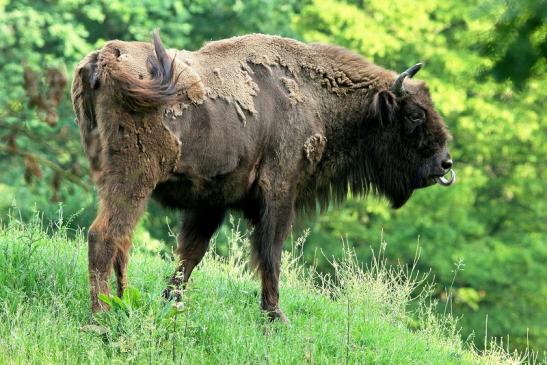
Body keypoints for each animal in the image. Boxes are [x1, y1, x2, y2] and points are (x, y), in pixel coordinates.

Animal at [74, 32, 458, 322]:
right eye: (414, 115)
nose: (445, 164)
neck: (313, 95)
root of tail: (107, 57)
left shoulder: (211, 203)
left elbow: (190, 254)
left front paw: (172, 302)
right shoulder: (279, 193)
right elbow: (270, 253)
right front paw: (276, 316)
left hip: (113, 179)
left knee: (121, 241)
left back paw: (123, 303)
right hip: (134, 178)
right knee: (104, 235)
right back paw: (100, 318)